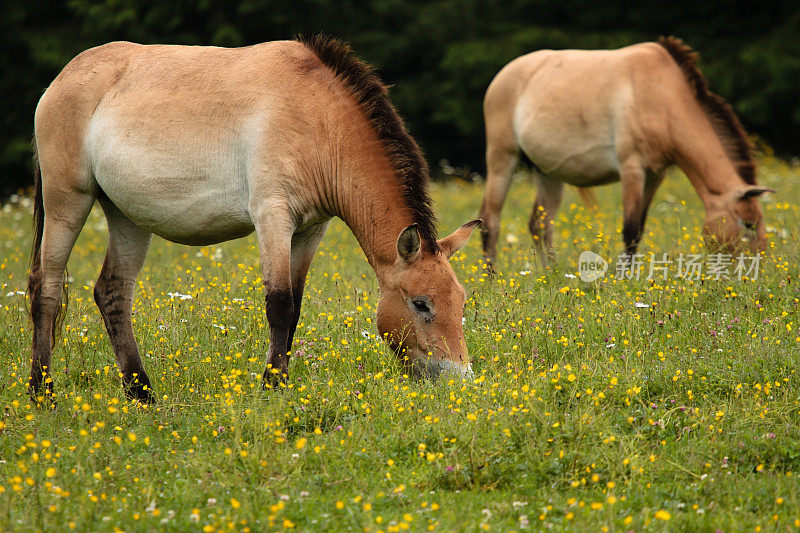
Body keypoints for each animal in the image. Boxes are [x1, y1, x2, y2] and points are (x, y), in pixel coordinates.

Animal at [29, 36, 482, 404]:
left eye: (461, 300)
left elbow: (295, 308)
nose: (459, 379)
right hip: (67, 201)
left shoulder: (311, 229)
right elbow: (279, 305)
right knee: (46, 289)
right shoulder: (273, 217)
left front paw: (278, 381)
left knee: (113, 293)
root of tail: (63, 78)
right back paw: (42, 393)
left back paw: (141, 394)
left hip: (127, 217)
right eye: (421, 304)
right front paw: (271, 388)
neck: (318, 121)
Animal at [478, 37, 772, 262]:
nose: (759, 267)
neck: (660, 96)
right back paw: (491, 282)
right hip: (502, 159)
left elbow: (638, 230)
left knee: (540, 226)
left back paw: (551, 278)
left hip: (548, 172)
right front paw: (624, 280)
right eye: (748, 224)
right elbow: (629, 230)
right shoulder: (632, 169)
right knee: (489, 221)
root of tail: (502, 76)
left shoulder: (655, 175)